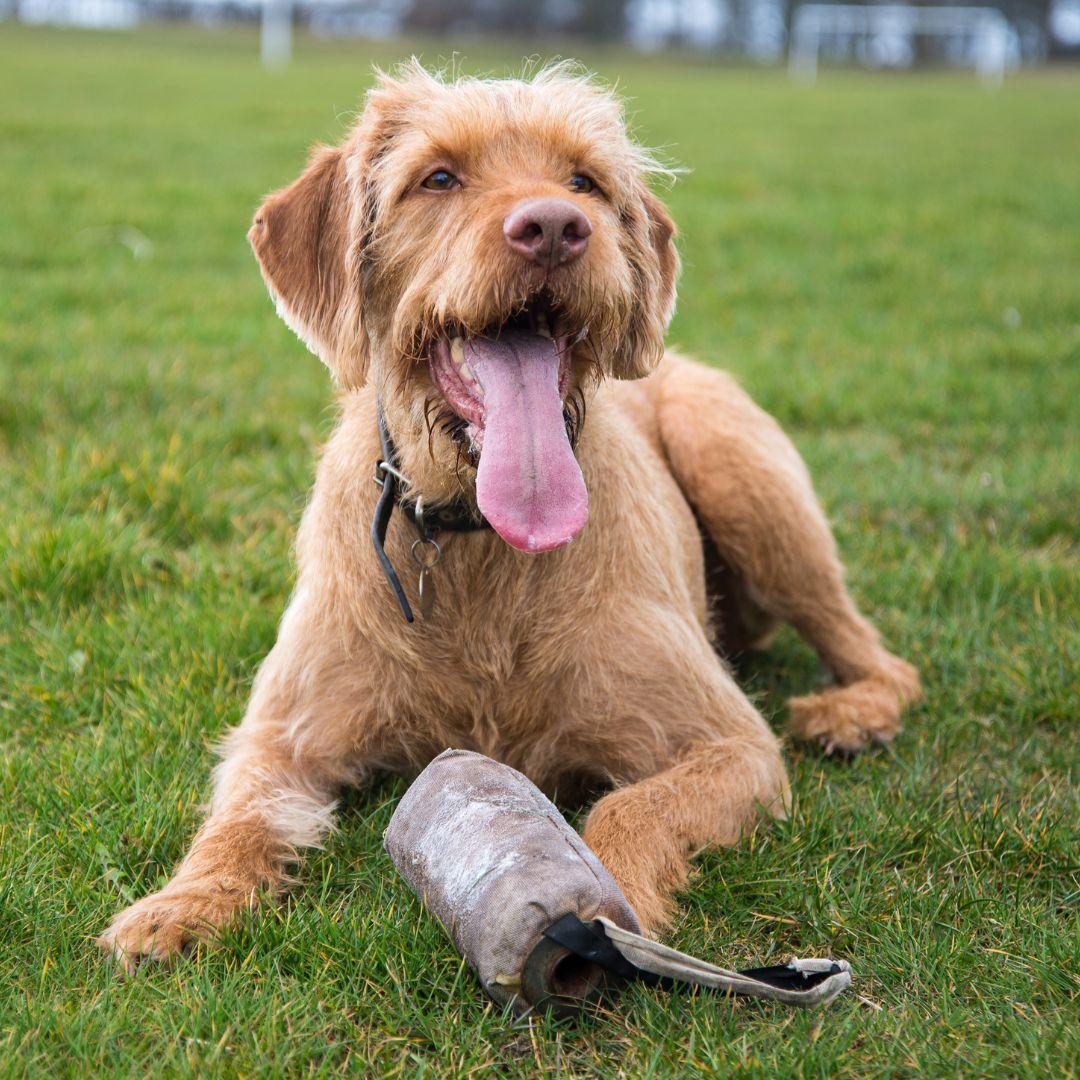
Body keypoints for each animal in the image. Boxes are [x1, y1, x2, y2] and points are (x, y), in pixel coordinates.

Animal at [99, 61, 920, 972]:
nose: (556, 227)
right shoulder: (284, 735)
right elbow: (240, 818)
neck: (475, 541)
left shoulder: (732, 747)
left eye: (585, 182)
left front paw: (612, 908)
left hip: (738, 467)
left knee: (876, 653)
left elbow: (627, 806)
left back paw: (853, 715)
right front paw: (181, 904)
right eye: (438, 178)